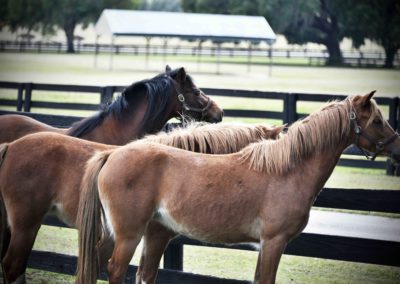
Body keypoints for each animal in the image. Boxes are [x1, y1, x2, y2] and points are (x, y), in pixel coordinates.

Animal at [76, 91, 398, 284]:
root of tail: (112, 155)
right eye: (377, 120)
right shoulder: (273, 243)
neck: (288, 170)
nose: (397, 146)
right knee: (115, 270)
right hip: (128, 235)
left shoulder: (267, 246)